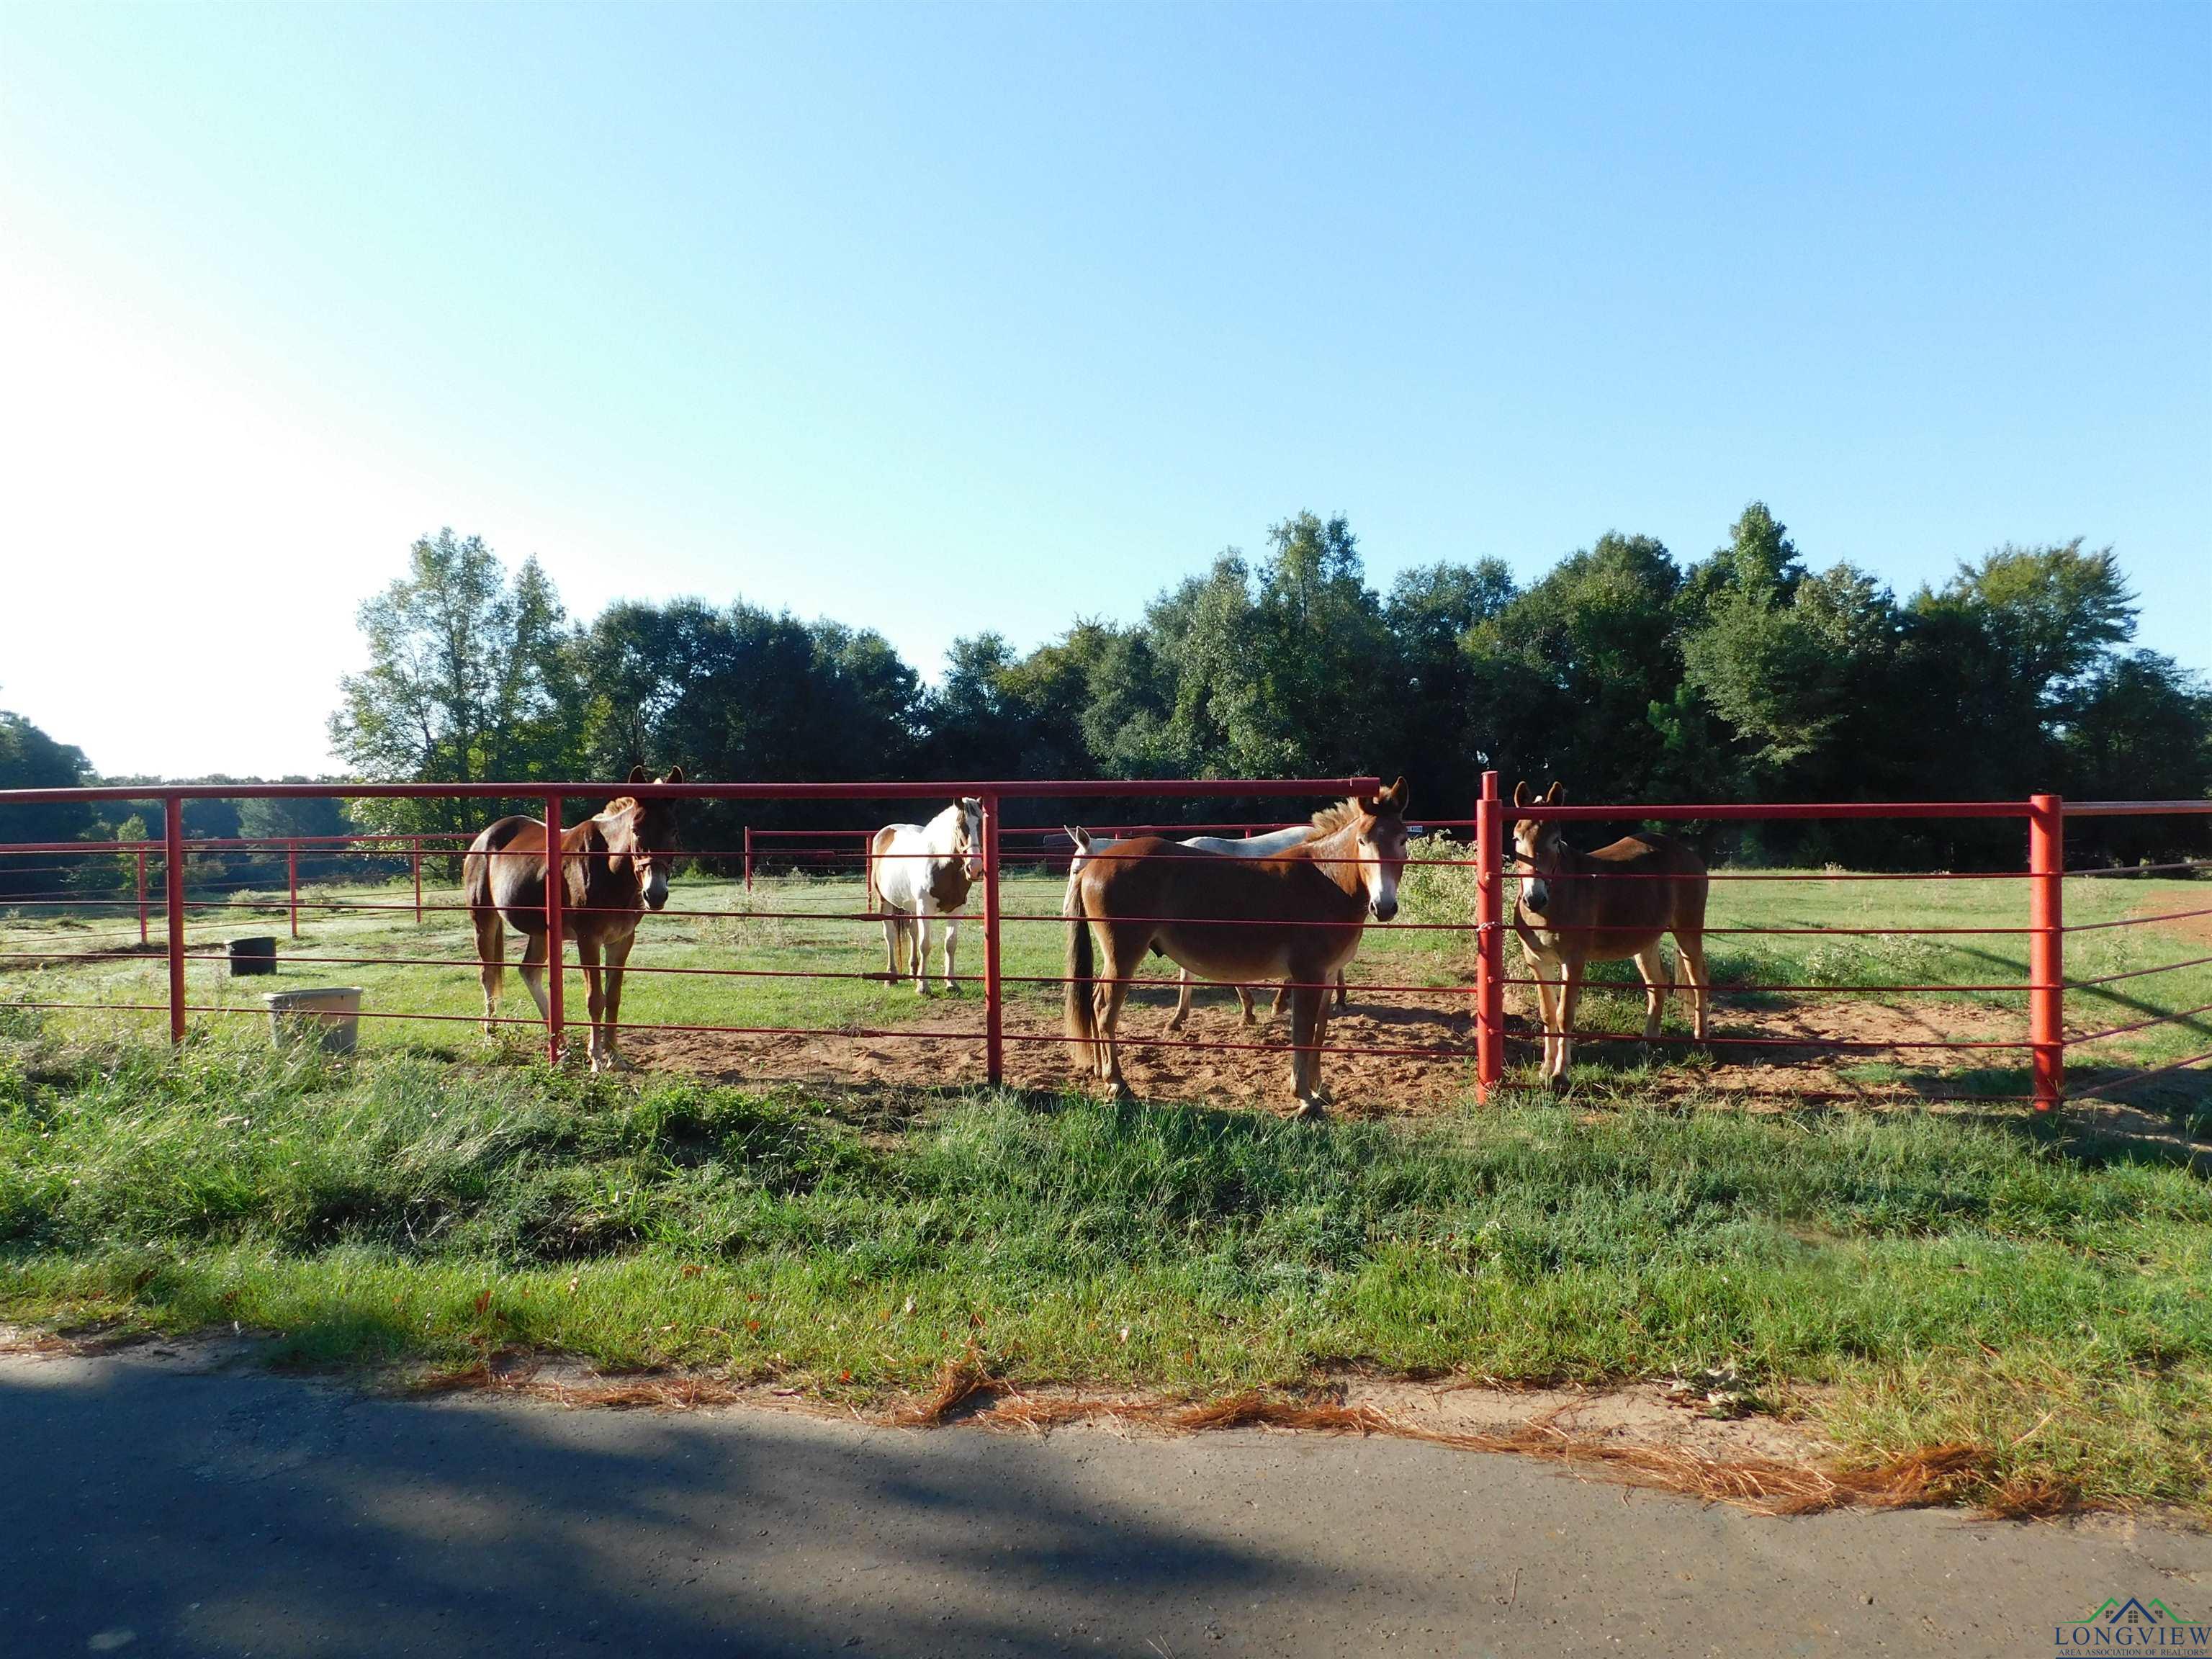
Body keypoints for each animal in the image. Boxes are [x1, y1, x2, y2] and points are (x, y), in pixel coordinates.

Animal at [459, 770, 681, 1079]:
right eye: (636, 830)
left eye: (673, 830)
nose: (655, 894)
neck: (608, 867)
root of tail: (483, 838)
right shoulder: (589, 938)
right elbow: (595, 999)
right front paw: (596, 1059)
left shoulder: (622, 940)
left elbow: (613, 998)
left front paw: (615, 1057)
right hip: (484, 919)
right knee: (488, 975)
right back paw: (491, 1038)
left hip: (541, 931)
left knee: (529, 972)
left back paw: (562, 1048)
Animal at [858, 801, 981, 995]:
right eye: (960, 826)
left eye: (981, 825)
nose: (974, 868)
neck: (942, 865)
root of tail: (885, 832)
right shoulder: (925, 908)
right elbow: (925, 945)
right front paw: (923, 987)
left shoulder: (957, 909)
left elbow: (950, 944)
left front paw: (951, 983)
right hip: (884, 902)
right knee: (890, 936)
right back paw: (891, 977)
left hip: (911, 906)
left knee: (912, 932)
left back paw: (913, 972)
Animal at [1503, 783, 1707, 1092]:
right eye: (1517, 839)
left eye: (1556, 840)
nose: (1534, 898)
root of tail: (1690, 855)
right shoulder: (1538, 962)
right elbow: (1548, 1013)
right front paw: (1545, 1070)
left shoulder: (1573, 961)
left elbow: (1564, 1014)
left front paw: (1561, 1074)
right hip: (1645, 942)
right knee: (1657, 984)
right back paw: (1646, 1044)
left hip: (1688, 932)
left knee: (1699, 981)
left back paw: (1701, 1040)